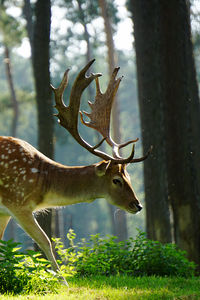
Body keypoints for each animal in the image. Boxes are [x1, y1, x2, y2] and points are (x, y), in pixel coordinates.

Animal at [0, 59, 151, 282]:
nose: (137, 205)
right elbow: (45, 241)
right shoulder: (17, 202)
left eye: (129, 176)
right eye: (116, 179)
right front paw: (62, 281)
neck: (42, 184)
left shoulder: (5, 210)